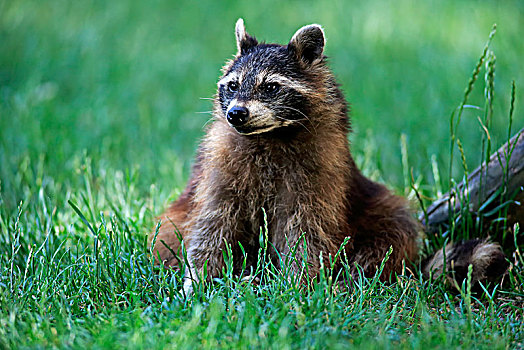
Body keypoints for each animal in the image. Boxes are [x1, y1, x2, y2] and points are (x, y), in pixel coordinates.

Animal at [150, 19, 508, 292]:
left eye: (270, 87)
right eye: (233, 86)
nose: (236, 114)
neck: (270, 135)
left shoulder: (321, 169)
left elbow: (308, 230)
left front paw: (299, 284)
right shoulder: (221, 166)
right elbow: (213, 223)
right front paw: (198, 279)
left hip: (375, 204)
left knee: (394, 228)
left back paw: (355, 277)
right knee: (169, 232)